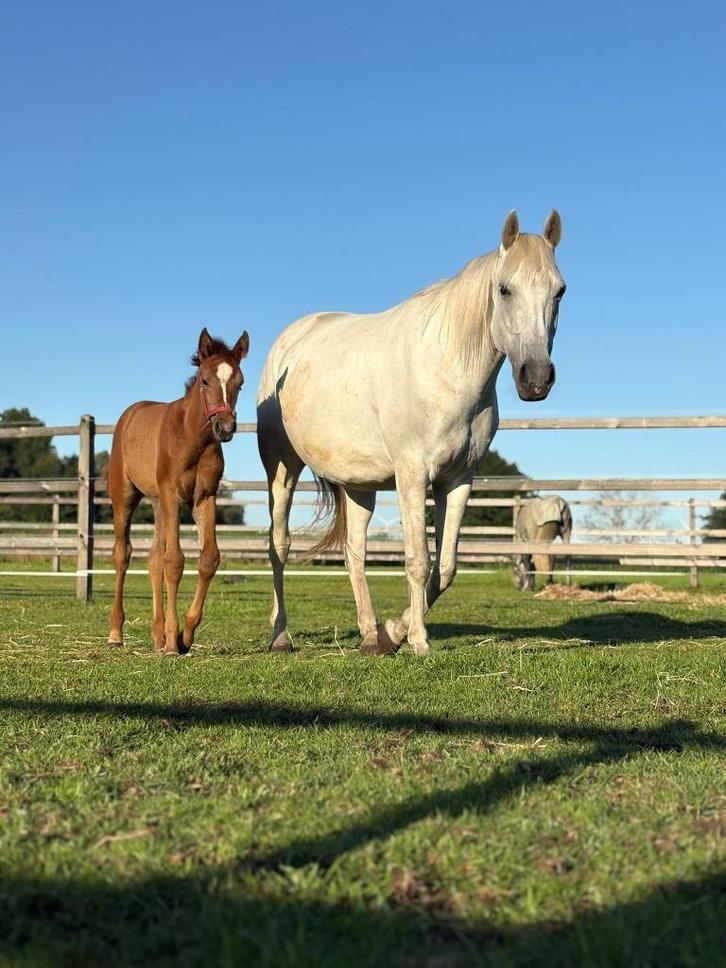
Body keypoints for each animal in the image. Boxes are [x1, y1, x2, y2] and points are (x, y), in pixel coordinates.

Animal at [107, 327, 249, 656]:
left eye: (240, 382)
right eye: (205, 380)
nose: (225, 427)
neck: (191, 437)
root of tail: (130, 413)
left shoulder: (204, 498)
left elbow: (208, 558)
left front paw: (185, 634)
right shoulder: (173, 496)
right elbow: (174, 562)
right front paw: (174, 642)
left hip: (157, 502)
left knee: (153, 557)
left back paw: (157, 636)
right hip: (125, 497)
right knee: (123, 554)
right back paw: (116, 633)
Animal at [257, 210, 565, 656]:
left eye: (559, 291)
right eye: (505, 289)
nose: (537, 378)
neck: (447, 369)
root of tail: (289, 341)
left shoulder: (458, 480)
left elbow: (446, 567)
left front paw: (392, 632)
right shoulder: (412, 475)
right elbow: (418, 560)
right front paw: (418, 641)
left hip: (359, 486)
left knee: (354, 553)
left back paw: (370, 636)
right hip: (281, 470)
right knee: (278, 544)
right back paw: (281, 635)